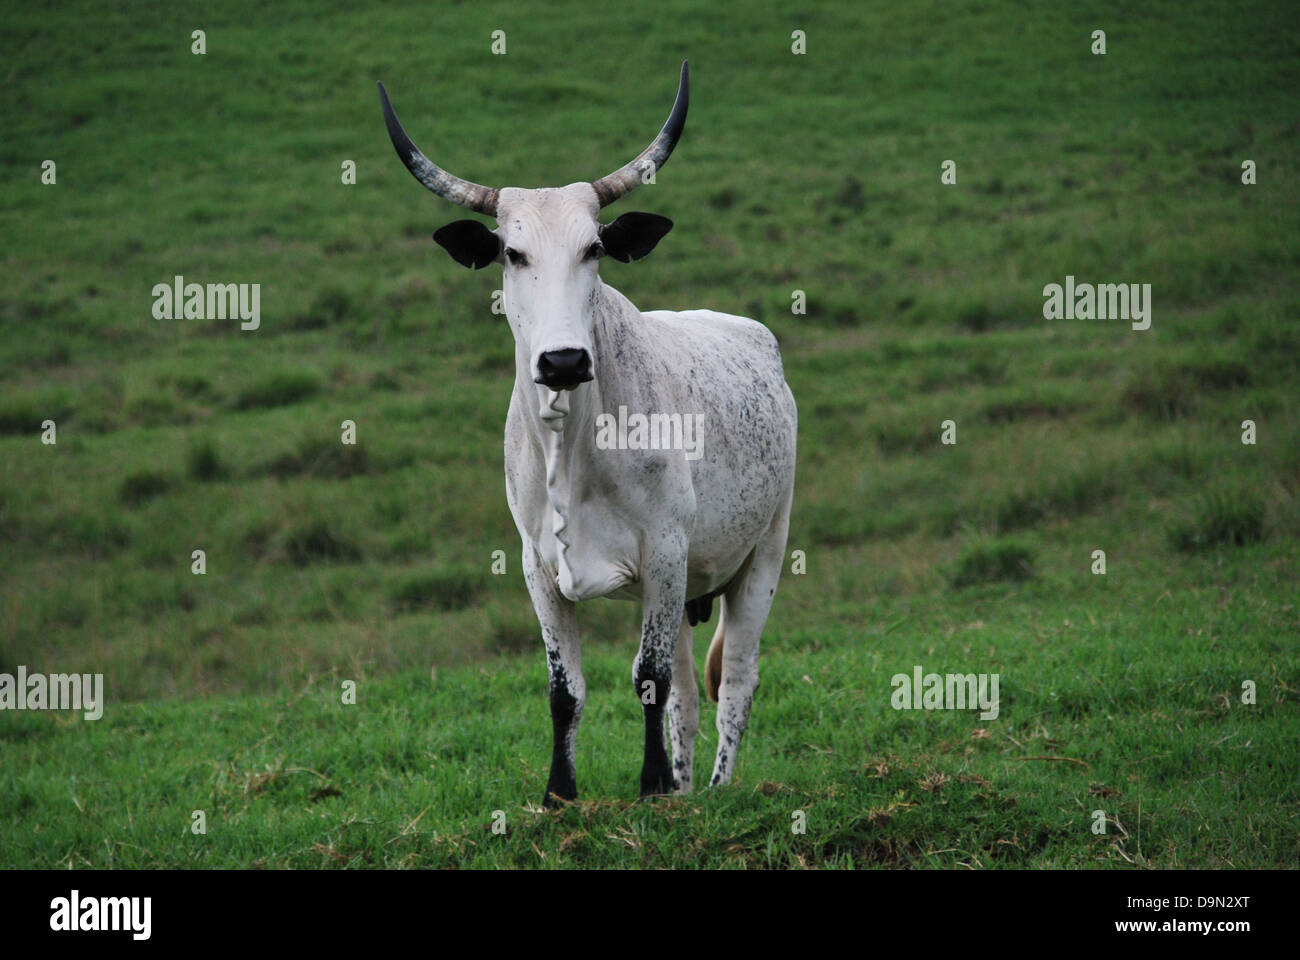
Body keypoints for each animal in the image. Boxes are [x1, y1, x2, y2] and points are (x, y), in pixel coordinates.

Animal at [379, 61, 797, 806]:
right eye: (512, 253)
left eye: (594, 247)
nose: (564, 361)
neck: (571, 445)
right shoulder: (537, 567)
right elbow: (565, 690)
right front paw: (560, 795)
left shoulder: (663, 549)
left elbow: (647, 676)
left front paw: (650, 788)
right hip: (687, 584)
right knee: (690, 694)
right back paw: (686, 787)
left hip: (763, 552)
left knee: (736, 679)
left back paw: (713, 787)